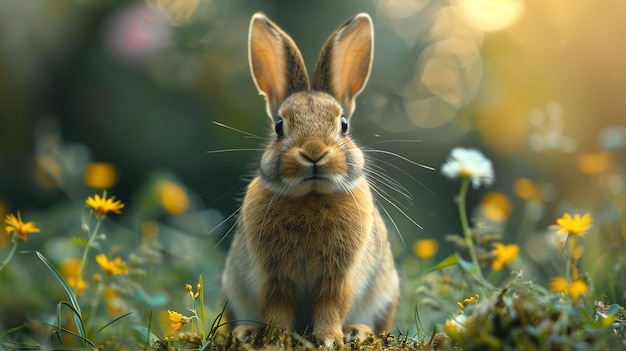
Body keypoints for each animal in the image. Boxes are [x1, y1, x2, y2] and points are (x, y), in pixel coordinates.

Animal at [219, 11, 398, 350]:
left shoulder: (337, 277)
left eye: (343, 124)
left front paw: (329, 340)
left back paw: (358, 331)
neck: (312, 195)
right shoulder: (274, 277)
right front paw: (276, 339)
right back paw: (243, 332)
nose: (314, 152)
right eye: (279, 125)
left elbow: (331, 306)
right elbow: (276, 308)